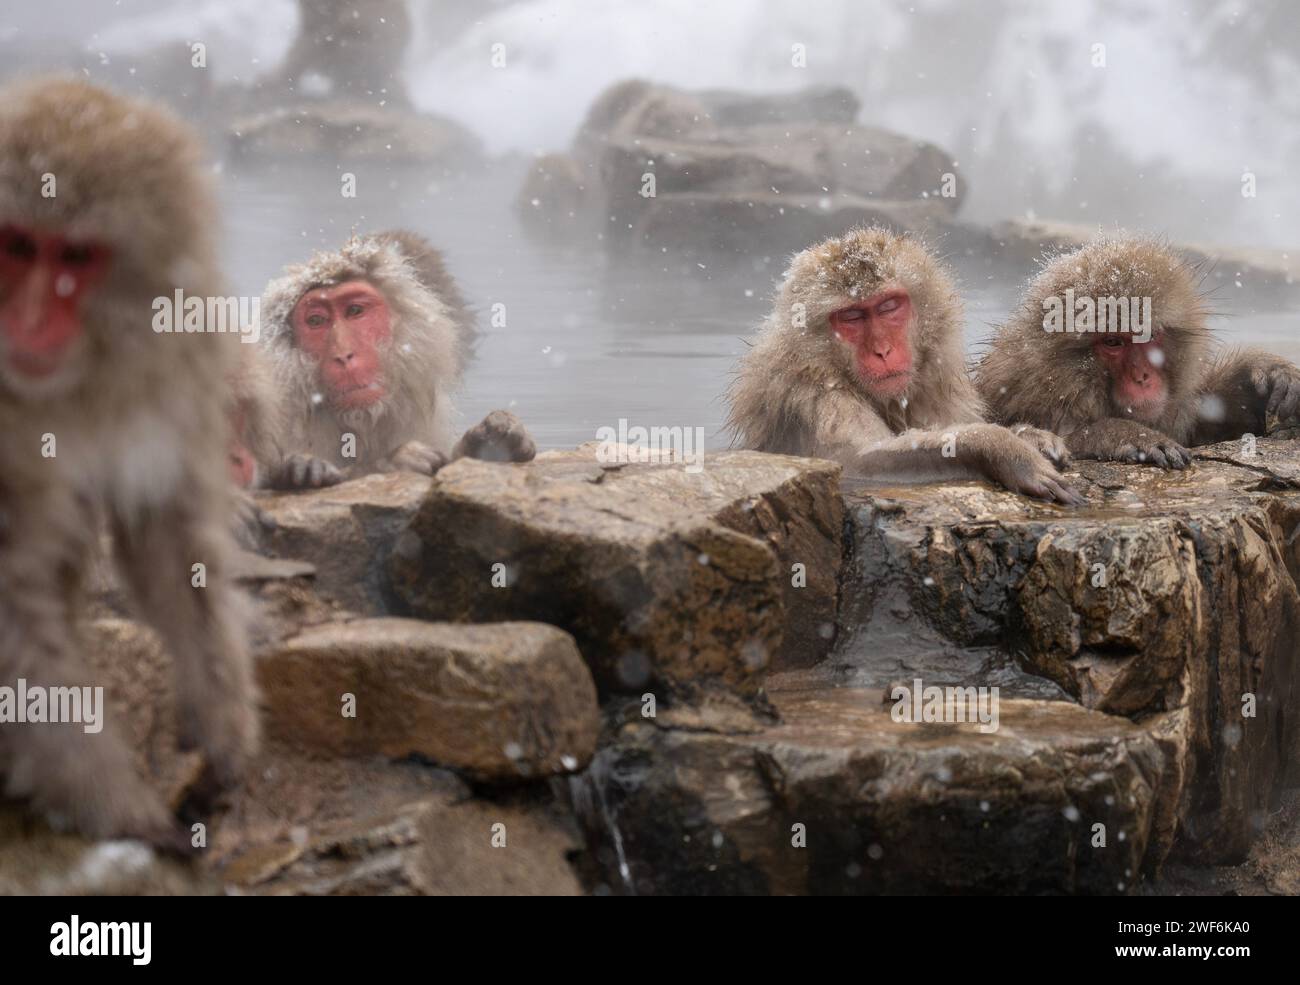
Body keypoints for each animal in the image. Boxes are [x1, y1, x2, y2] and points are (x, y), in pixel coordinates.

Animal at [0, 78, 261, 847]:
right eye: (17, 245)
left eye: (75, 256)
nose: (28, 321)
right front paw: (112, 800)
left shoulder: (180, 350)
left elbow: (169, 539)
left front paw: (225, 730)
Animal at [728, 227, 1081, 504]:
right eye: (852, 317)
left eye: (888, 307)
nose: (882, 351)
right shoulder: (812, 389)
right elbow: (854, 463)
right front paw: (1004, 449)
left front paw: (1031, 436)